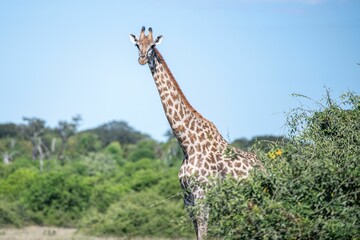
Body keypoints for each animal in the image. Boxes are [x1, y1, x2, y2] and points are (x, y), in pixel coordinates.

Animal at [129, 26, 262, 240]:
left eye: (152, 46)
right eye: (136, 44)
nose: (141, 59)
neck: (187, 145)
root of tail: (265, 167)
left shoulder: (202, 195)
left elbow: (204, 233)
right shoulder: (188, 199)